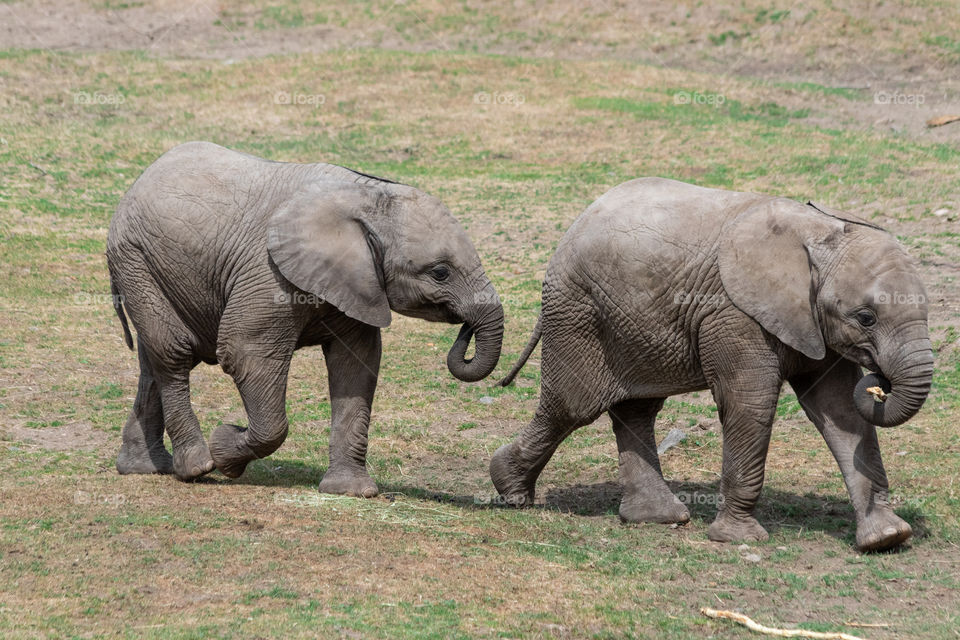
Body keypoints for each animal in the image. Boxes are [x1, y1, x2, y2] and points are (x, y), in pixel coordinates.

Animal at [107, 141, 503, 495]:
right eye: (440, 272)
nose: (465, 330)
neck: (367, 197)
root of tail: (139, 180)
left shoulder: (358, 281)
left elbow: (356, 364)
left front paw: (351, 492)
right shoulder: (268, 274)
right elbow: (245, 352)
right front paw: (225, 449)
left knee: (153, 361)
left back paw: (143, 468)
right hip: (135, 259)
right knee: (173, 354)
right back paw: (197, 467)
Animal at [492, 177, 933, 552]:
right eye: (866, 318)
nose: (879, 382)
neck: (819, 232)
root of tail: (575, 223)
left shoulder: (810, 322)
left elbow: (841, 412)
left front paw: (886, 537)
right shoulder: (734, 315)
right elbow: (750, 404)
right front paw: (739, 539)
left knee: (636, 409)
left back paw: (656, 517)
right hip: (579, 312)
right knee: (572, 406)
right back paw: (509, 490)